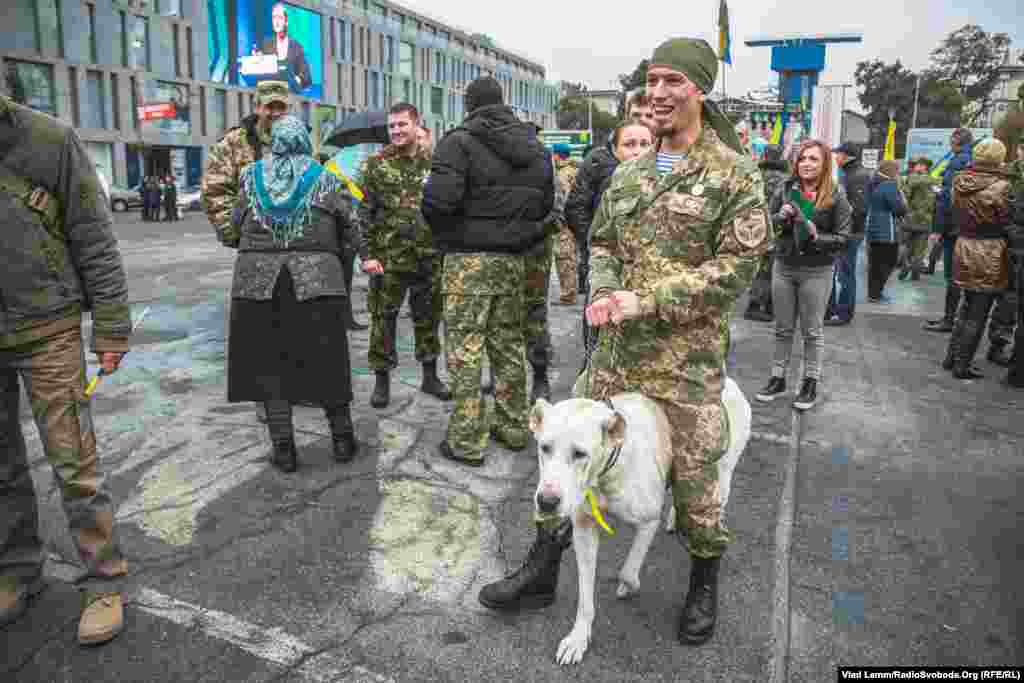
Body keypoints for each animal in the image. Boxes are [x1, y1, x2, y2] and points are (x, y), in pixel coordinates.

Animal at [528, 376, 753, 663]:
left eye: (580, 453)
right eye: (544, 448)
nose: (546, 502)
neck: (609, 468)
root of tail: (731, 382)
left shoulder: (648, 520)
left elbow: (628, 569)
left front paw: (628, 586)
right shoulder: (584, 529)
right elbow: (585, 597)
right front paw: (578, 638)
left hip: (719, 475)